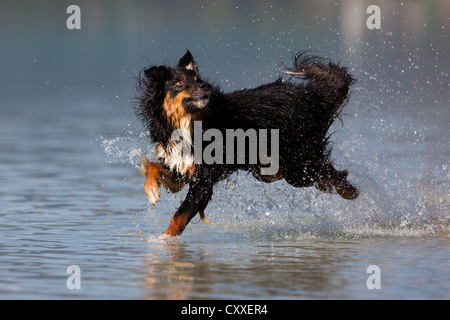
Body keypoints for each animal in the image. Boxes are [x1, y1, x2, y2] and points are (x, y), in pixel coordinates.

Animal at [136, 50, 358, 239]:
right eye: (179, 82)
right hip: (278, 169)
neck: (190, 123)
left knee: (333, 172)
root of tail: (312, 97)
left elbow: (180, 215)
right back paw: (328, 187)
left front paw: (164, 239)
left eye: (197, 80)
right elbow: (154, 167)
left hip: (298, 165)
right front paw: (152, 191)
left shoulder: (203, 179)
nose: (205, 86)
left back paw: (350, 192)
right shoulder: (180, 167)